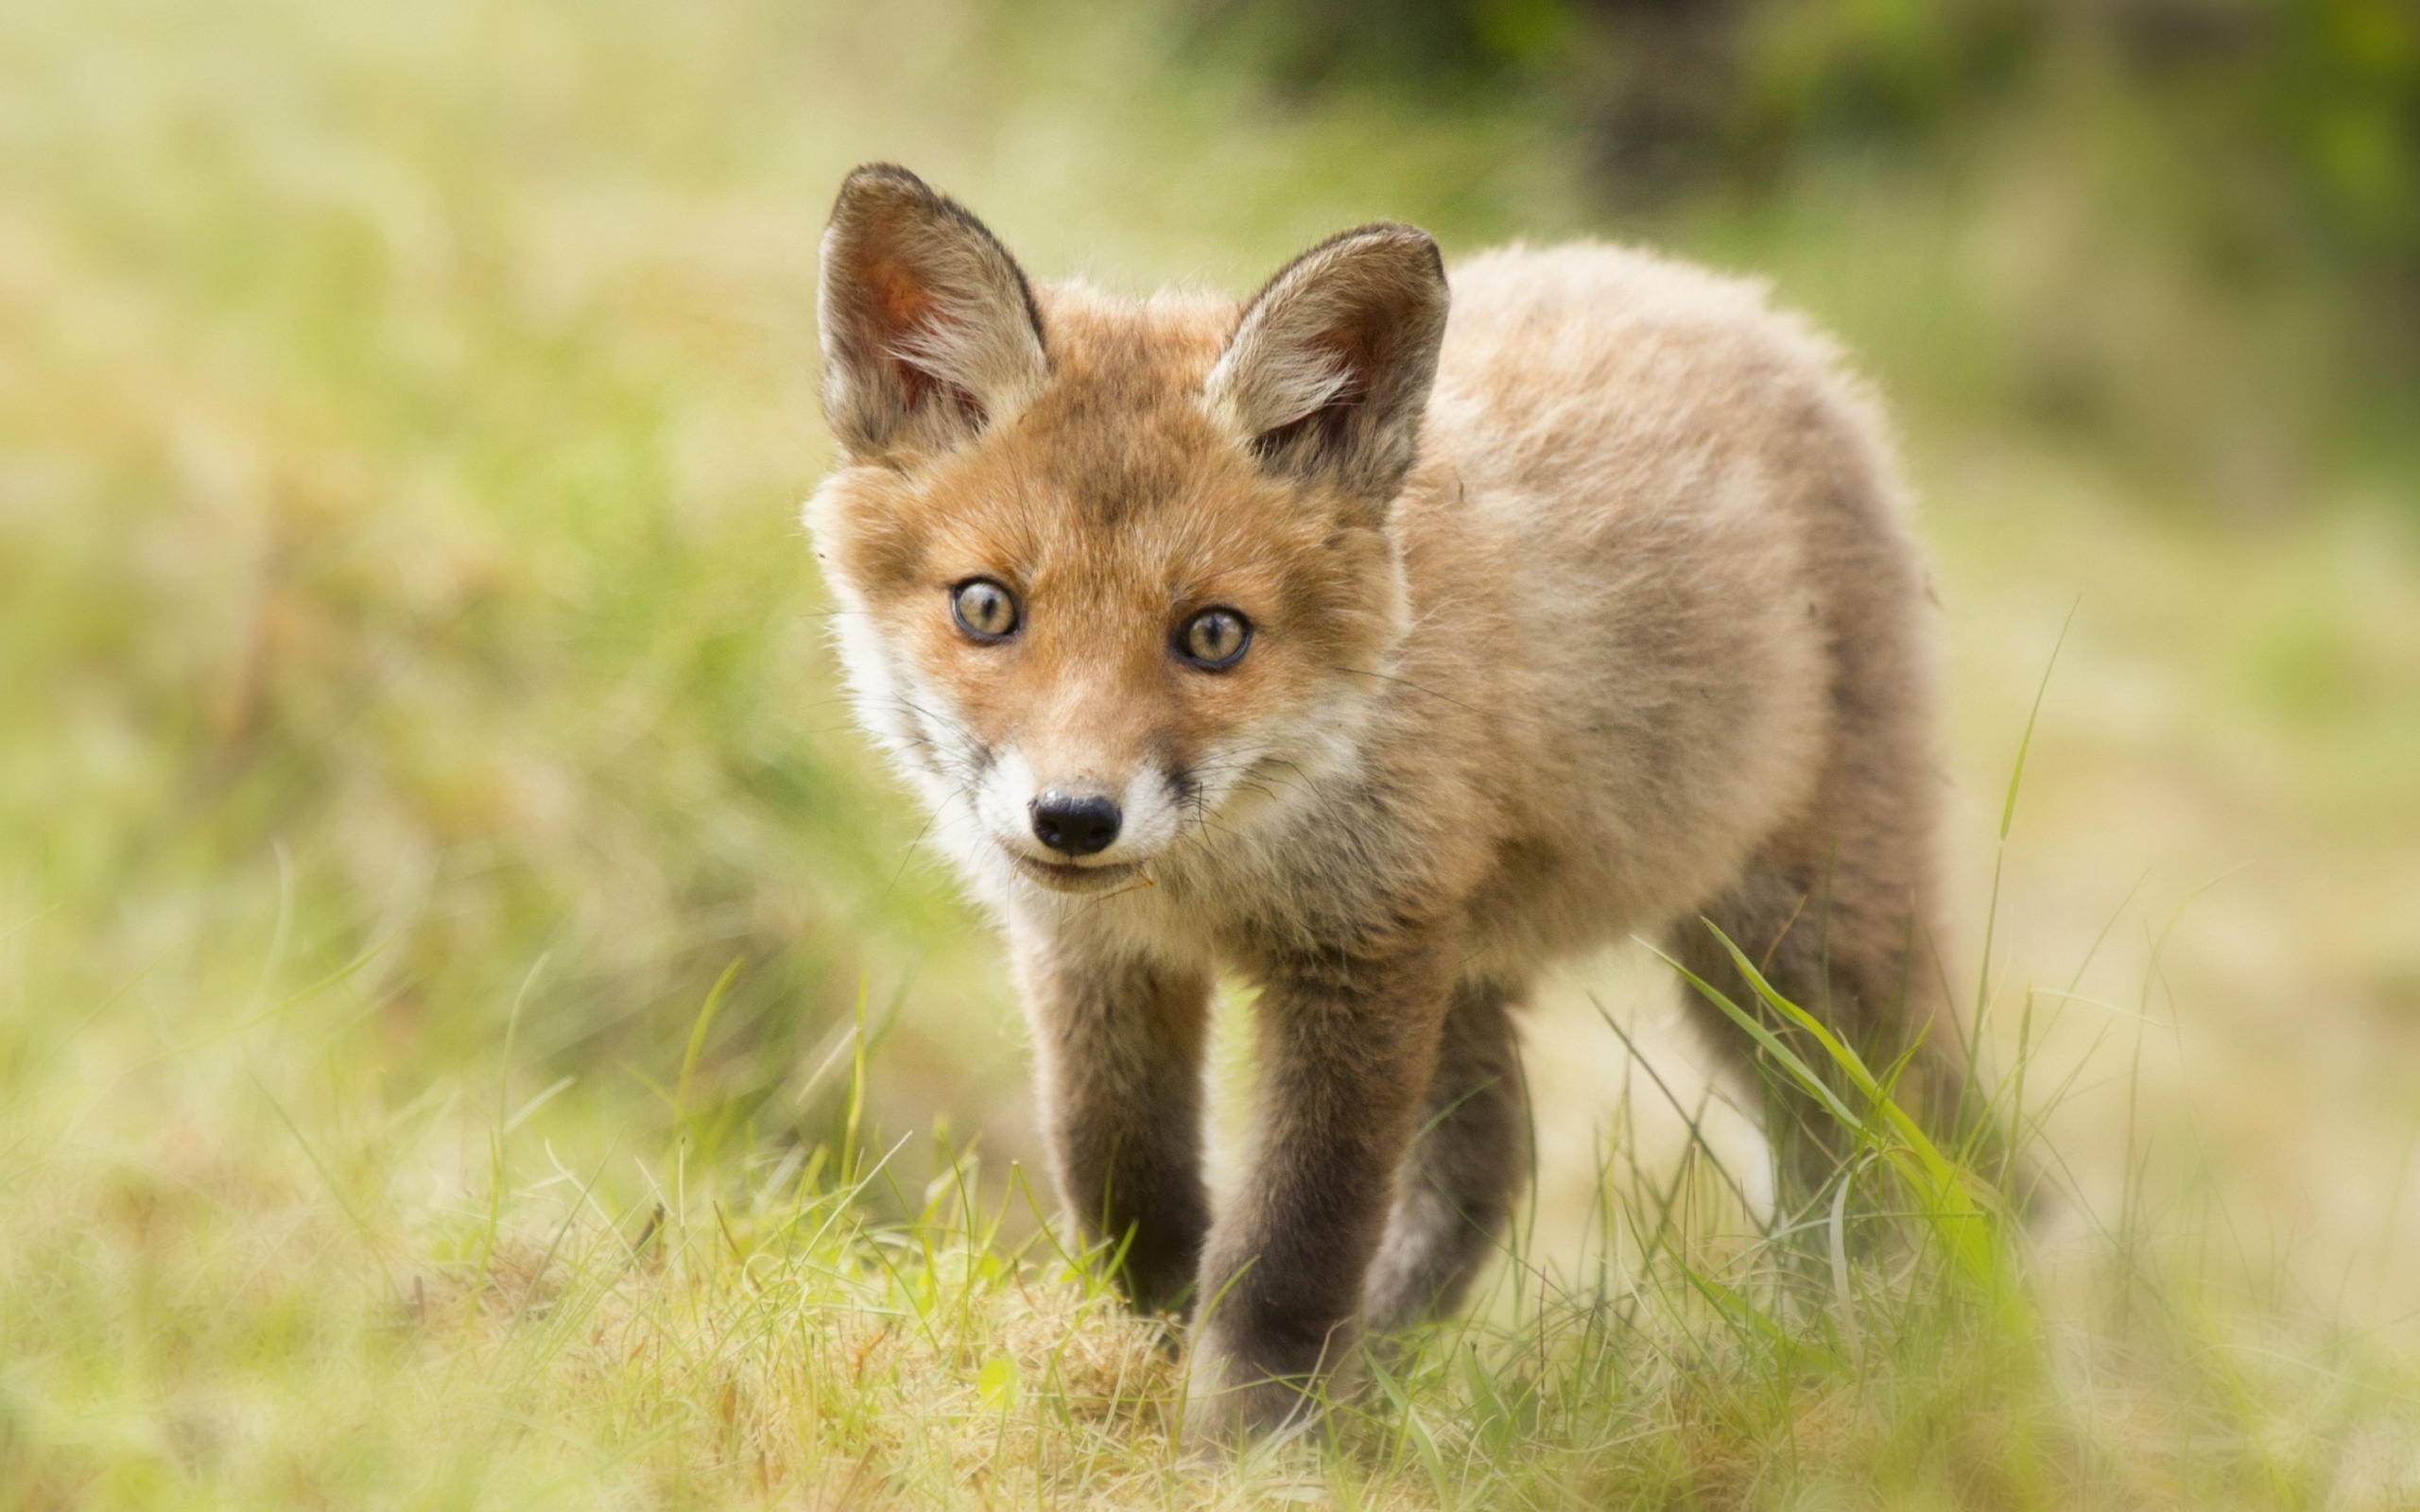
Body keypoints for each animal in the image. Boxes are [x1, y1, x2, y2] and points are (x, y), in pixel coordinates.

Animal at [813, 162, 1984, 1441]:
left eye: (1212, 635)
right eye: (986, 608)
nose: (1074, 818)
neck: (1221, 872)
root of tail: (1728, 297)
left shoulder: (1362, 949)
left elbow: (1292, 1242)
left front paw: (1252, 1440)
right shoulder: (1099, 952)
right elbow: (1128, 1184)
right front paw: (1144, 1365)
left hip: (1794, 957)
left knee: (1903, 1143)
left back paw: (1895, 1350)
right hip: (1487, 962)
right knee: (1493, 1161)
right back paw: (1381, 1378)